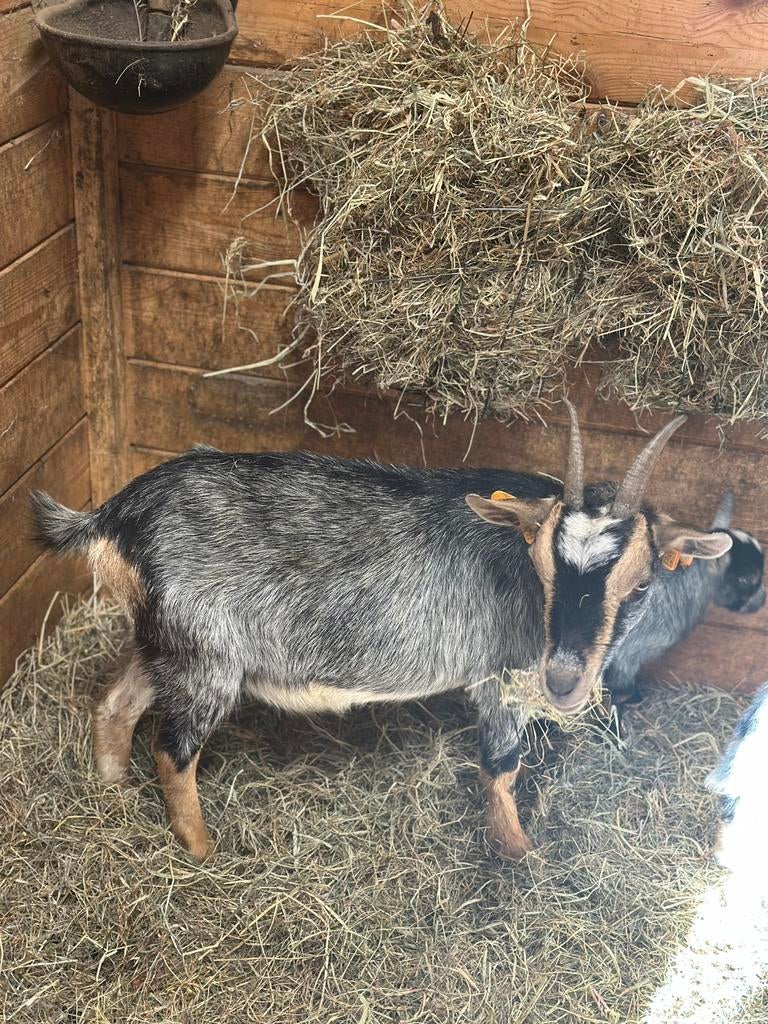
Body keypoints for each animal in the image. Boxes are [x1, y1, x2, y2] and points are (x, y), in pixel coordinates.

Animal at [31, 404, 732, 861]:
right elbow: (500, 767)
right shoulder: (501, 676)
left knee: (114, 705)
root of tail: (114, 516)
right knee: (173, 750)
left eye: (639, 584)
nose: (563, 679)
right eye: (539, 567)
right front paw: (522, 855)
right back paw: (204, 851)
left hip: (161, 641)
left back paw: (112, 790)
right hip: (205, 658)